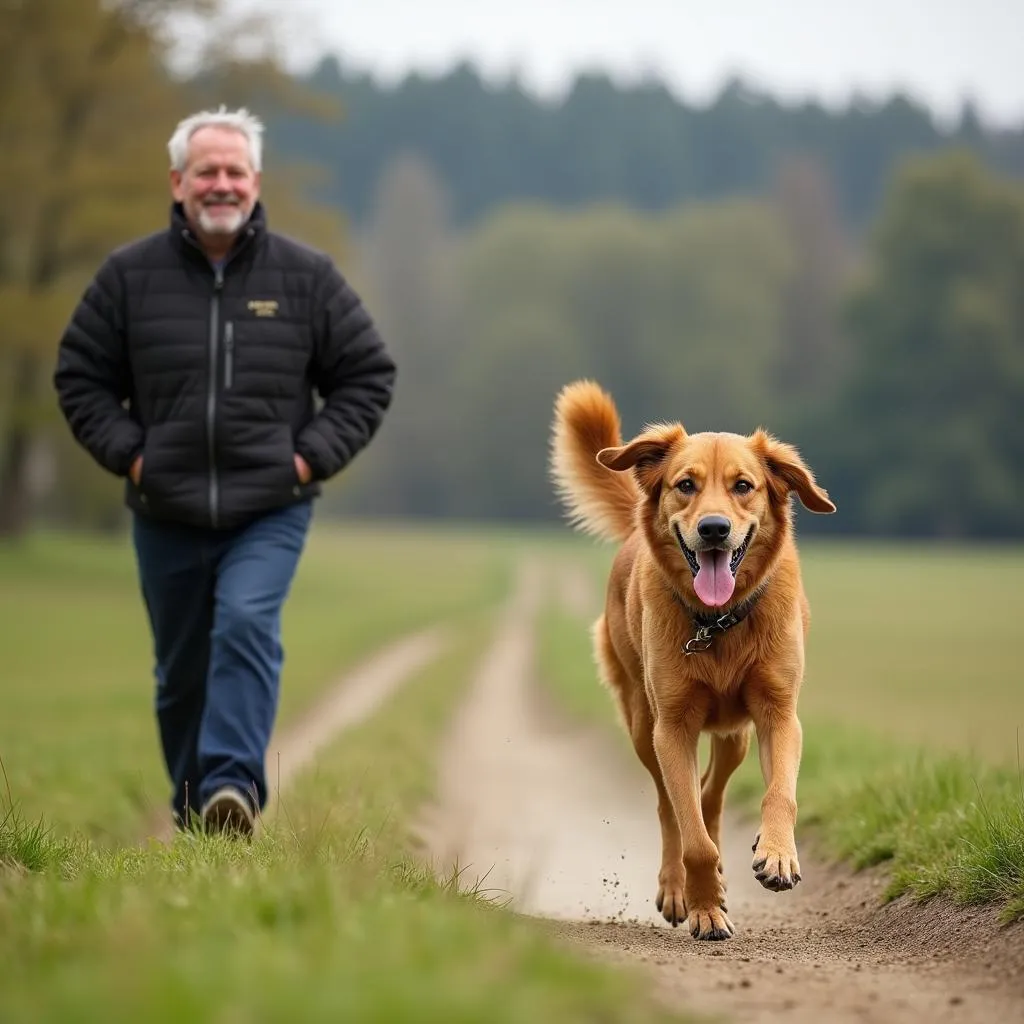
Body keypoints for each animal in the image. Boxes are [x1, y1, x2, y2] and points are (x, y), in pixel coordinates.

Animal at [548, 380, 835, 937]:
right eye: (685, 484)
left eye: (743, 486)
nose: (715, 528)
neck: (717, 623)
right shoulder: (673, 727)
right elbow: (691, 835)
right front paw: (704, 907)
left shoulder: (778, 714)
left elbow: (779, 794)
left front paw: (777, 855)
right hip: (643, 724)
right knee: (672, 808)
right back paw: (679, 886)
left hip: (734, 736)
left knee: (712, 796)